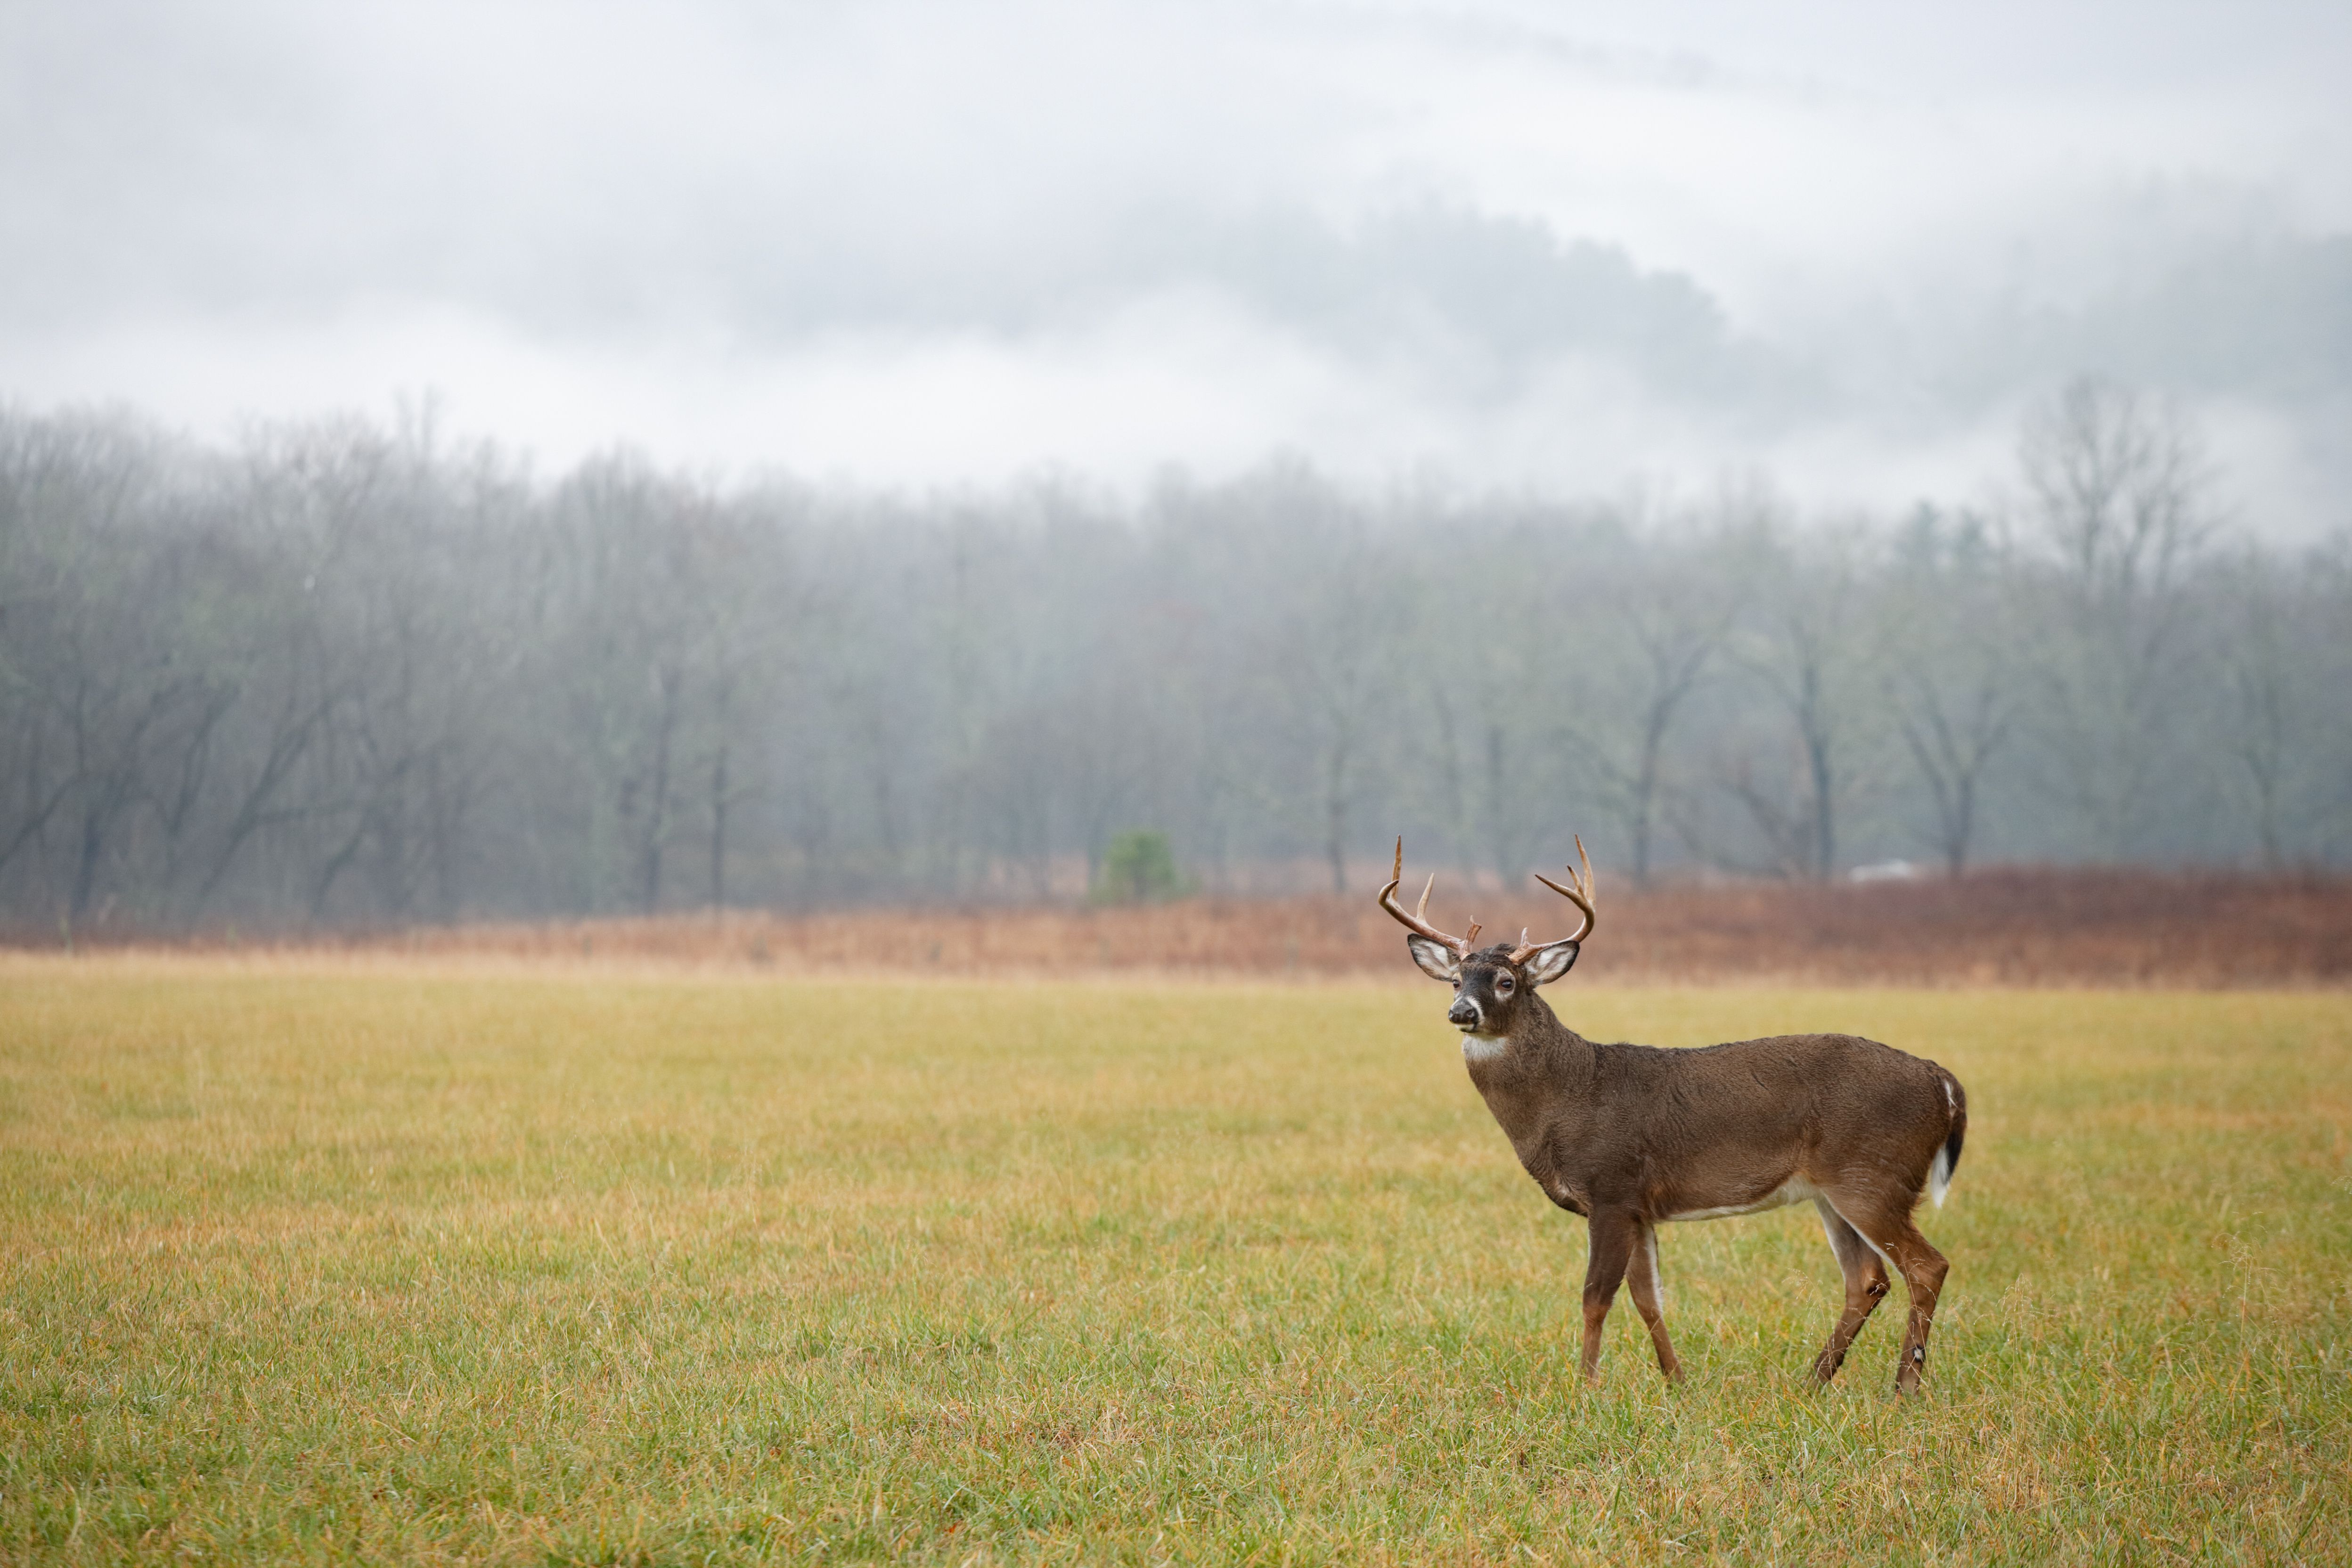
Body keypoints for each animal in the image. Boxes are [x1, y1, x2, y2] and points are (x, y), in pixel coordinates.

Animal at [1379, 838, 1966, 1393]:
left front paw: (1585, 1387)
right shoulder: (1640, 1207)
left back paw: (1904, 1385)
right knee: (1867, 1278)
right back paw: (1814, 1380)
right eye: (1455, 980)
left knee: (1926, 1265)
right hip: (1834, 1189)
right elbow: (1649, 1297)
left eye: (1506, 982)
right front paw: (1676, 1381)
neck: (1568, 1098)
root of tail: (1942, 1081)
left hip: (1874, 1174)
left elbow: (1596, 1295)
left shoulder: (1612, 1188)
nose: (1461, 1011)